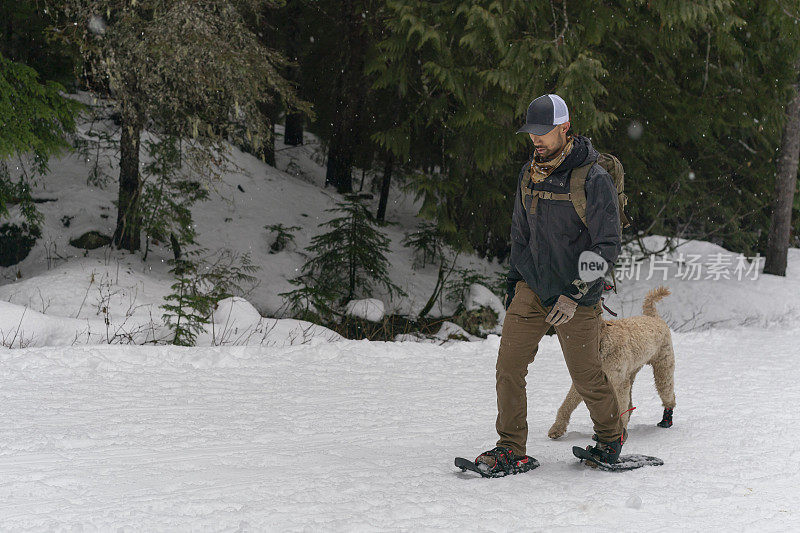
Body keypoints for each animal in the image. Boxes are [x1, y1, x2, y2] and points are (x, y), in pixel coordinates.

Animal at [544, 284, 676, 438]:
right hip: (631, 374)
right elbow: (567, 404)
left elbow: (620, 408)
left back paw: (666, 419)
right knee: (630, 404)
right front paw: (557, 428)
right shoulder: (587, 381)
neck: (601, 341)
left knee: (668, 394)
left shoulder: (618, 382)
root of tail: (653, 317)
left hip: (663, 368)